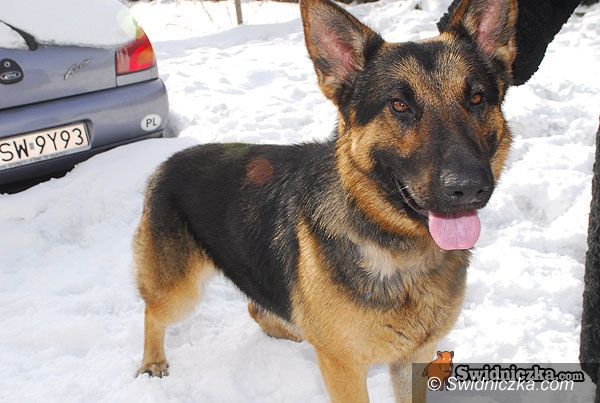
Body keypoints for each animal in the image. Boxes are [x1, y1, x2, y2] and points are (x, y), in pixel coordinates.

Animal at [133, 0, 517, 401]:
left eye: (476, 99)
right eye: (399, 105)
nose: (468, 188)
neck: (399, 249)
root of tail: (167, 162)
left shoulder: (412, 360)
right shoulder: (344, 369)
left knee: (258, 308)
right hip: (179, 292)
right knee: (152, 313)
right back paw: (153, 363)